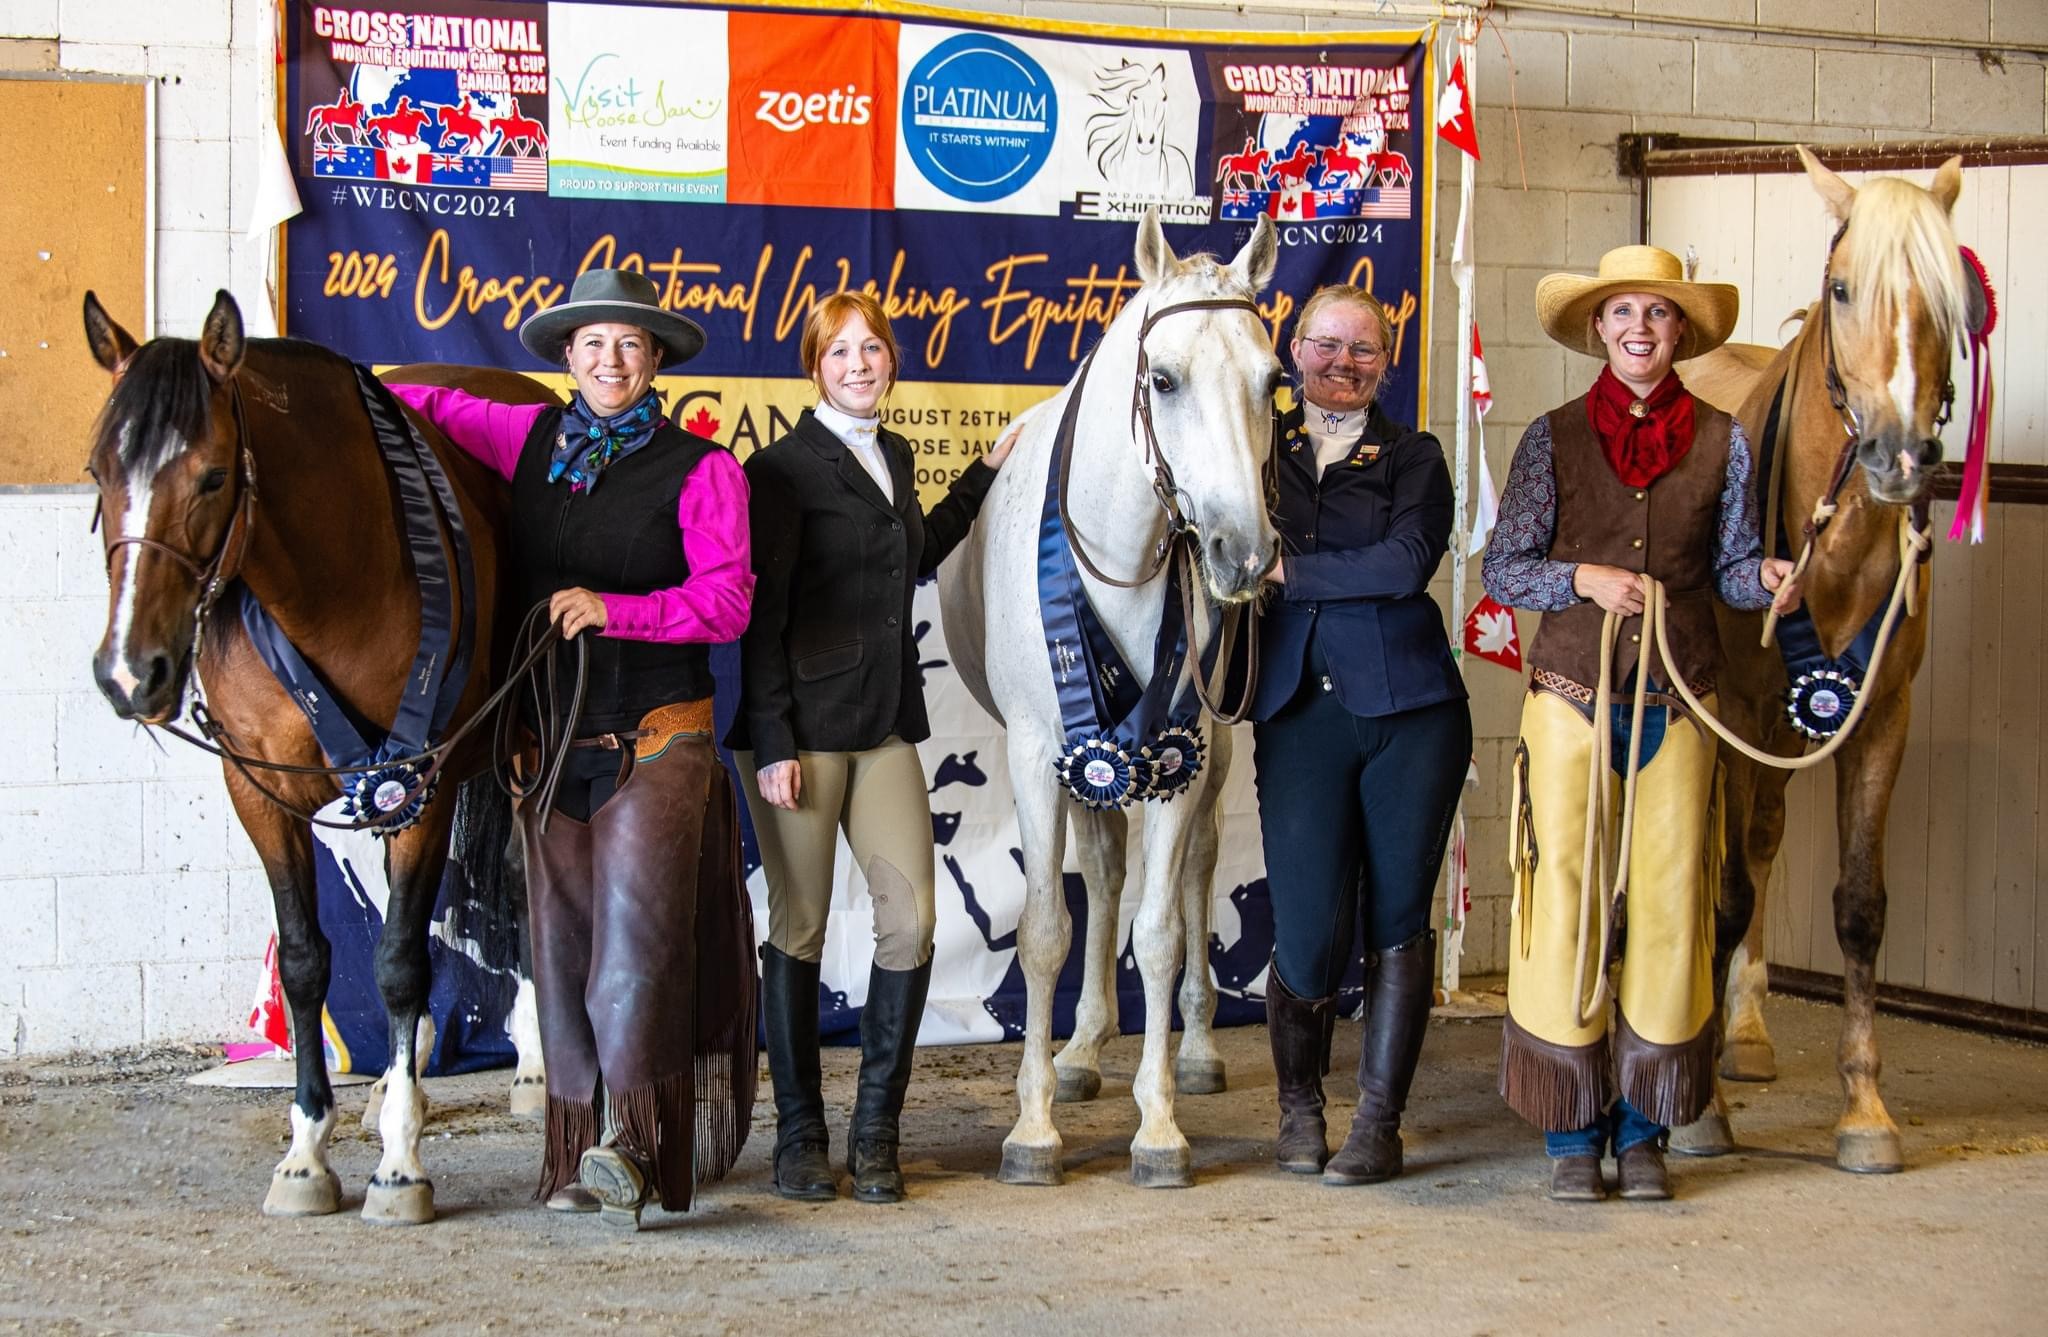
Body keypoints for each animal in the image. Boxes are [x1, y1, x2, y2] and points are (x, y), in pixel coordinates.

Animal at [82, 292, 552, 1220]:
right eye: (97, 472)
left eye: (212, 477)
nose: (130, 671)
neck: (330, 577)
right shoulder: (259, 790)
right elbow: (307, 962)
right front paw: (306, 1153)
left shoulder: (418, 779)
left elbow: (400, 961)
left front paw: (400, 1163)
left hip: (512, 753)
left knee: (517, 890)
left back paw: (532, 1069)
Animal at [942, 213, 1277, 1187]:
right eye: (1162, 379)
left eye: (1272, 380)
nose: (1244, 553)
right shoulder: (1034, 751)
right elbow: (1048, 927)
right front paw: (1034, 1124)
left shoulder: (1178, 750)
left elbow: (1161, 931)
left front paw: (1159, 1124)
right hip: (1087, 758)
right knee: (1101, 869)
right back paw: (1083, 1051)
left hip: (1207, 756)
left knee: (1197, 865)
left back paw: (1195, 1047)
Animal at [1671, 143, 1974, 1171]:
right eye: (1844, 288)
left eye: (1953, 299)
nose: (1898, 455)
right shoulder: (1734, 712)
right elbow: (1722, 890)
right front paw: (1699, 1106)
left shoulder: (1881, 715)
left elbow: (1859, 904)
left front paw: (1866, 1109)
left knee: (1764, 843)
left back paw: (1748, 1033)